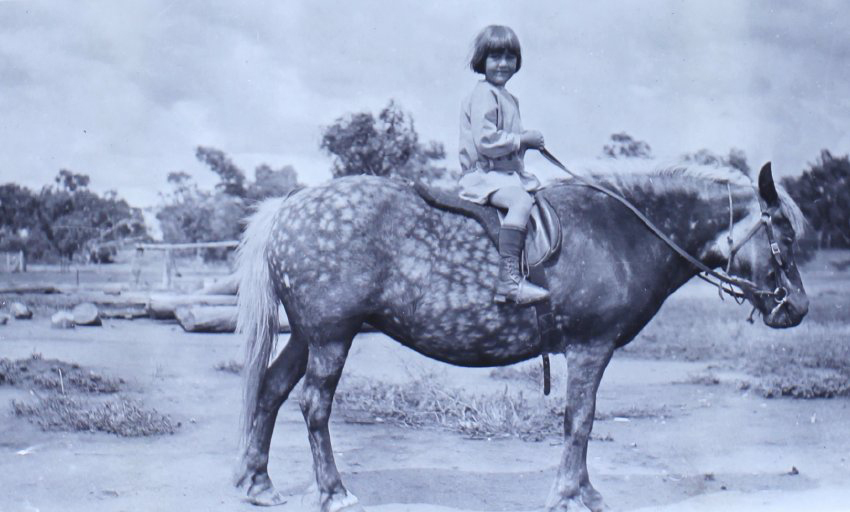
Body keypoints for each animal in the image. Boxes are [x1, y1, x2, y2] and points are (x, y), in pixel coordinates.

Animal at [234, 161, 808, 512]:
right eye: (782, 235)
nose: (797, 308)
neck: (624, 231)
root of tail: (289, 204)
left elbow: (580, 422)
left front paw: (581, 490)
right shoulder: (591, 347)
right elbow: (580, 421)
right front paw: (572, 493)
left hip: (307, 335)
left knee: (271, 391)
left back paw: (259, 484)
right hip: (331, 337)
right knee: (314, 405)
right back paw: (333, 491)